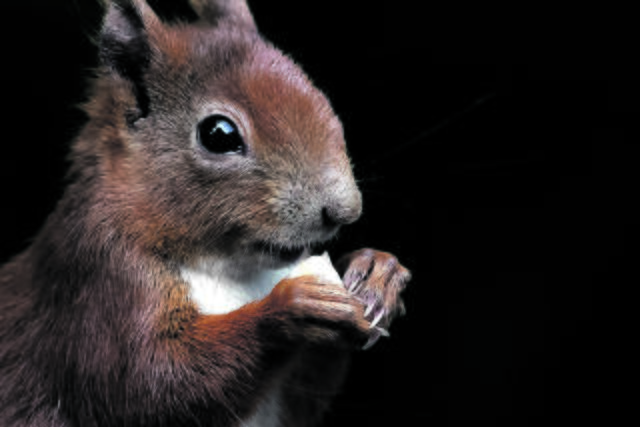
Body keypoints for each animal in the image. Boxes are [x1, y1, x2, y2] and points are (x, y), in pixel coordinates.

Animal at [0, 1, 411, 426]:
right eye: (218, 134)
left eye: (319, 97)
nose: (345, 210)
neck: (231, 271)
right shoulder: (98, 282)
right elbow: (146, 384)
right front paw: (292, 310)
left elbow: (302, 401)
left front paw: (376, 271)